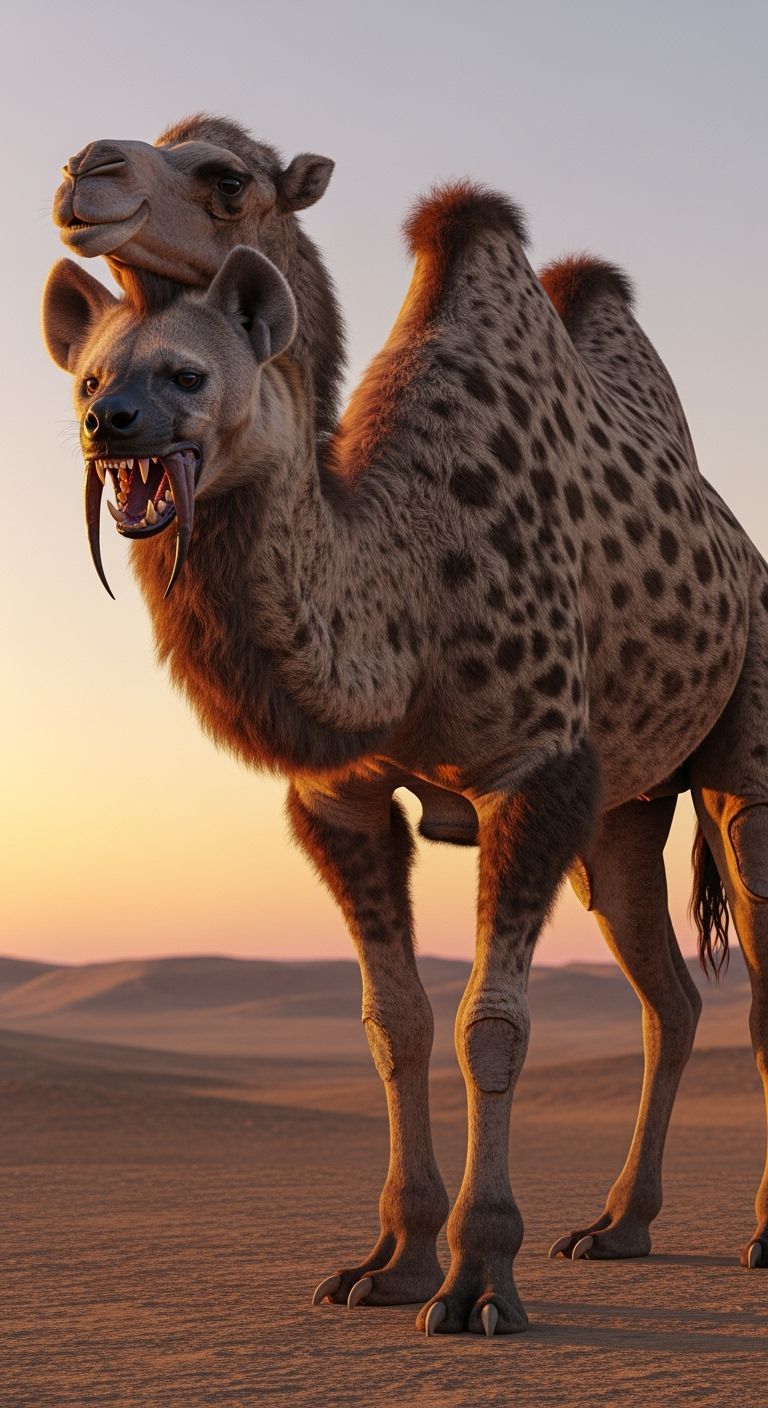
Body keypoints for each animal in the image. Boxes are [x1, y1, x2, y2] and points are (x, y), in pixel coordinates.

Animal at [43, 181, 768, 1336]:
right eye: (91, 374)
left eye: (187, 373)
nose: (105, 423)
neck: (407, 587)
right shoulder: (341, 799)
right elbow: (397, 1022)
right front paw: (391, 1261)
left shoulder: (533, 773)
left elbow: (490, 1027)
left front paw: (480, 1281)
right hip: (621, 815)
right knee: (670, 993)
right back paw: (618, 1225)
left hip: (746, 745)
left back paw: (759, 1234)